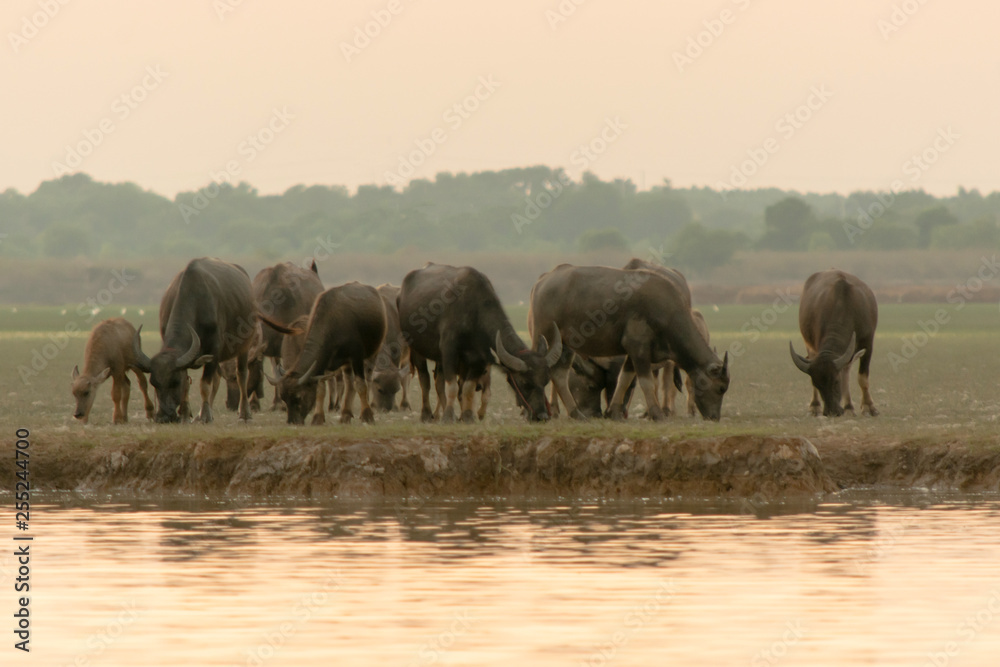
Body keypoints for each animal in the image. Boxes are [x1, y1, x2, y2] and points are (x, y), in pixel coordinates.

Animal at [790, 269, 878, 417]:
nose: (832, 411)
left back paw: (849, 407)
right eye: (817, 383)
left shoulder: (868, 344)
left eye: (836, 382)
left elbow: (862, 378)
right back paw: (817, 406)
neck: (844, 306)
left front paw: (868, 407)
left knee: (847, 370)